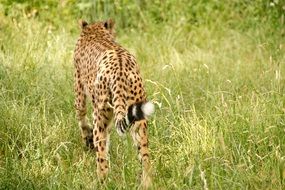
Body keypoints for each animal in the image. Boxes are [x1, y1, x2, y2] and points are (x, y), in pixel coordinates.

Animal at [73, 19, 153, 187]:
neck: (95, 30)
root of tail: (121, 70)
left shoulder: (79, 90)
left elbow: (81, 118)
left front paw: (87, 141)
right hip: (139, 119)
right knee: (145, 155)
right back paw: (147, 182)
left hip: (99, 115)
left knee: (101, 154)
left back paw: (101, 181)